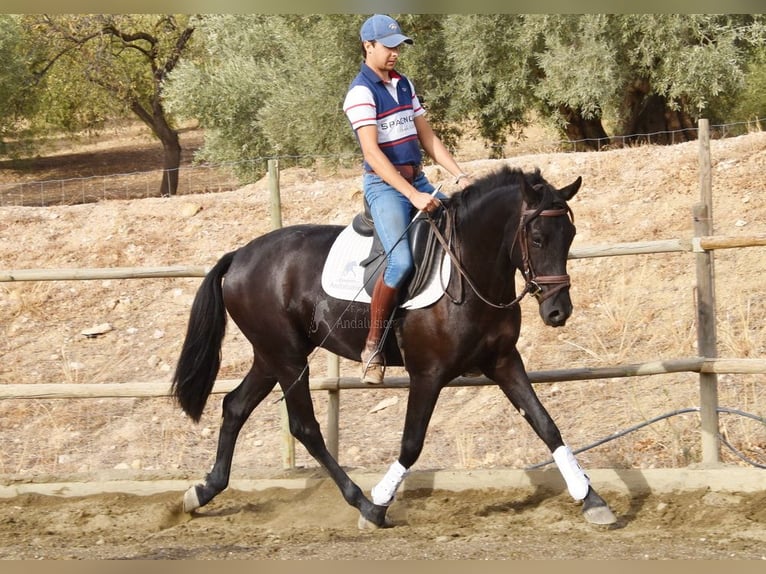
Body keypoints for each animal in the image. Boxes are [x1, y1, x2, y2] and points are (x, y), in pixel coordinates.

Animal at [172, 166, 616, 532]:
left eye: (570, 236)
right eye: (538, 238)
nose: (558, 311)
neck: (468, 268)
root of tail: (239, 256)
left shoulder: (505, 362)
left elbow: (547, 426)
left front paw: (592, 500)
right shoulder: (428, 374)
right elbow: (411, 442)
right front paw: (380, 506)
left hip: (270, 356)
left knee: (235, 406)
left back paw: (202, 491)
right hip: (288, 358)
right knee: (305, 427)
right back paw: (360, 501)